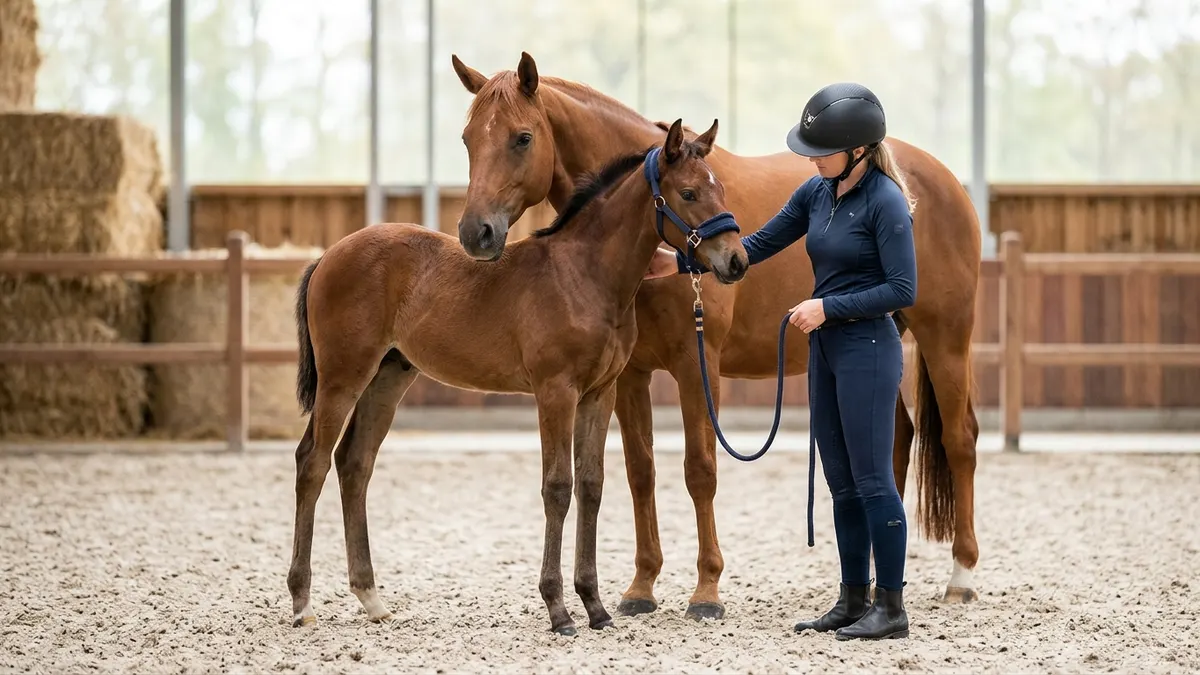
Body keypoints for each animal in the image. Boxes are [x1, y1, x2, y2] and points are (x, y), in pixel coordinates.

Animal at [285, 119, 749, 636]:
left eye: (721, 189)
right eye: (688, 192)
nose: (736, 261)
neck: (583, 275)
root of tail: (328, 256)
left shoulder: (599, 394)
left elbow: (591, 486)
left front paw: (595, 606)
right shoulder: (555, 391)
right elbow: (558, 487)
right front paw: (559, 610)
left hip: (387, 378)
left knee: (355, 462)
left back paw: (371, 599)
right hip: (343, 377)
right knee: (312, 462)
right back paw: (302, 602)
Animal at [450, 52, 984, 621]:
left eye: (523, 138)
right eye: (467, 138)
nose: (475, 234)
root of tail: (939, 179)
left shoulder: (696, 363)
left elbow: (700, 470)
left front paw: (706, 590)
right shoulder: (630, 375)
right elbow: (641, 471)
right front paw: (642, 586)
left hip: (945, 340)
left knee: (959, 440)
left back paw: (961, 576)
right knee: (895, 441)